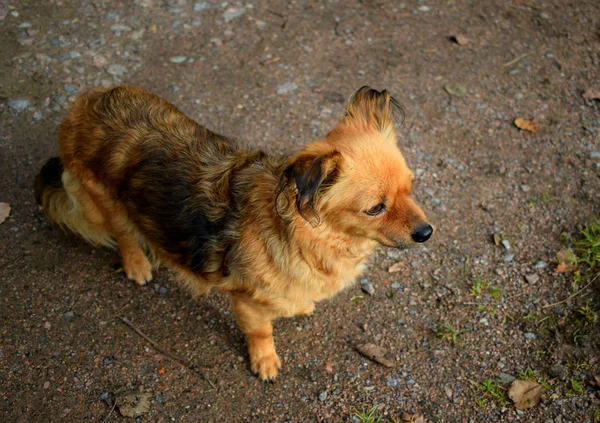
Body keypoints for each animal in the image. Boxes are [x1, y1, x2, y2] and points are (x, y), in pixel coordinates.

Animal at [34, 86, 432, 380]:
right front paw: (265, 362)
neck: (309, 235)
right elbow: (261, 333)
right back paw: (137, 265)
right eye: (375, 208)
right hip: (107, 202)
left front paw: (301, 305)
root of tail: (82, 105)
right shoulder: (246, 301)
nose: (427, 232)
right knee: (125, 234)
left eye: (411, 187)